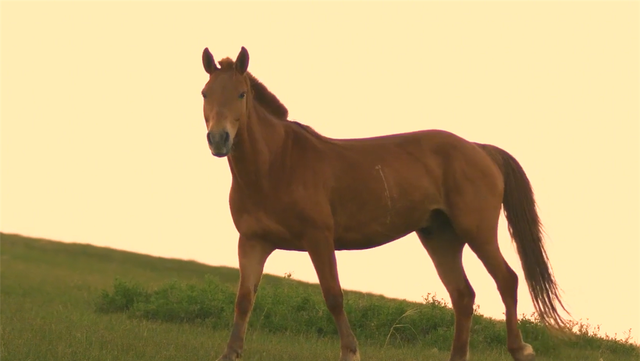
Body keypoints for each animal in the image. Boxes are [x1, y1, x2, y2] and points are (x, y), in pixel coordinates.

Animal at [200, 45, 568, 360]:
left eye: (241, 93)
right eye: (205, 93)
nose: (219, 140)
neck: (276, 164)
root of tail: (479, 149)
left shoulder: (319, 239)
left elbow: (333, 296)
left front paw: (350, 351)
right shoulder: (252, 242)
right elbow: (244, 300)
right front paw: (229, 353)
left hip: (477, 231)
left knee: (507, 280)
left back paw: (520, 349)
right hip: (440, 237)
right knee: (463, 295)